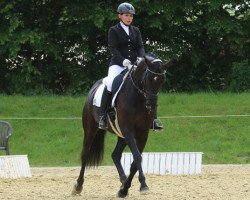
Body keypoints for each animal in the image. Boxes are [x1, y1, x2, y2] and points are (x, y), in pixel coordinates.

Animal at [72, 53, 174, 198]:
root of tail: (94, 87)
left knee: (115, 155)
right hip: (90, 128)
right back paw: (78, 186)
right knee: (85, 154)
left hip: (121, 136)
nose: (151, 106)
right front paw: (142, 185)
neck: (138, 98)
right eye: (148, 78)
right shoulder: (128, 130)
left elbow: (135, 162)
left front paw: (124, 189)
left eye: (162, 81)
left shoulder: (142, 133)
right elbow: (137, 157)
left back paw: (123, 181)